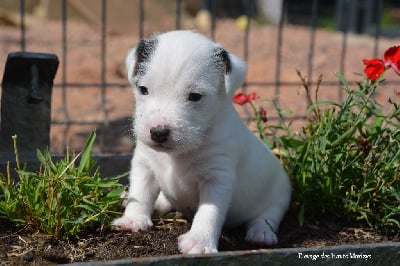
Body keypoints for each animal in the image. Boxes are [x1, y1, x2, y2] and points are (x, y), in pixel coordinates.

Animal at [112, 30, 290, 255]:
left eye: (195, 96)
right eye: (143, 89)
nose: (158, 132)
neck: (177, 154)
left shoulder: (217, 179)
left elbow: (209, 212)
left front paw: (199, 242)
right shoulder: (144, 165)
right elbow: (140, 193)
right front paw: (133, 219)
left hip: (278, 196)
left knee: (267, 216)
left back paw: (261, 233)